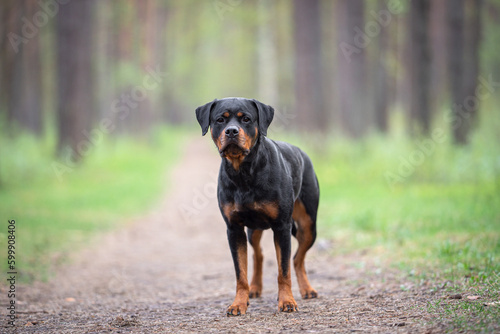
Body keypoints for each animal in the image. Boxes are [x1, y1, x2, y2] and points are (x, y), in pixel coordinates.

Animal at [195, 97, 320, 316]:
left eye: (246, 119)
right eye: (220, 120)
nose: (231, 131)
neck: (244, 173)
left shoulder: (282, 226)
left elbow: (283, 270)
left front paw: (287, 301)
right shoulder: (234, 229)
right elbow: (240, 272)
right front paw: (238, 303)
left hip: (308, 225)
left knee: (297, 258)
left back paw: (307, 289)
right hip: (253, 230)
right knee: (258, 255)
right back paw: (255, 288)